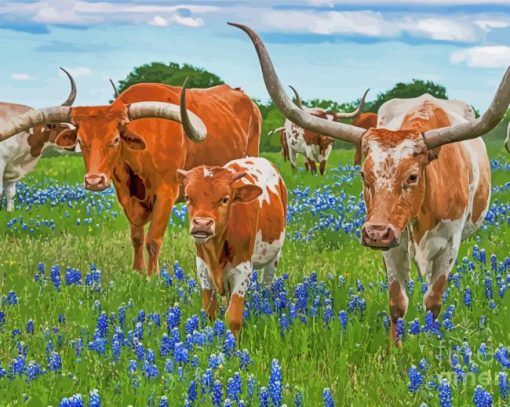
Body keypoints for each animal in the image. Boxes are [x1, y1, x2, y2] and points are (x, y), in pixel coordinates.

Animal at [178, 158, 286, 336]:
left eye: (225, 199)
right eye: (188, 197)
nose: (202, 224)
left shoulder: (243, 270)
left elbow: (234, 318)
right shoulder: (203, 268)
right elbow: (210, 313)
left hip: (274, 257)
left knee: (267, 283)